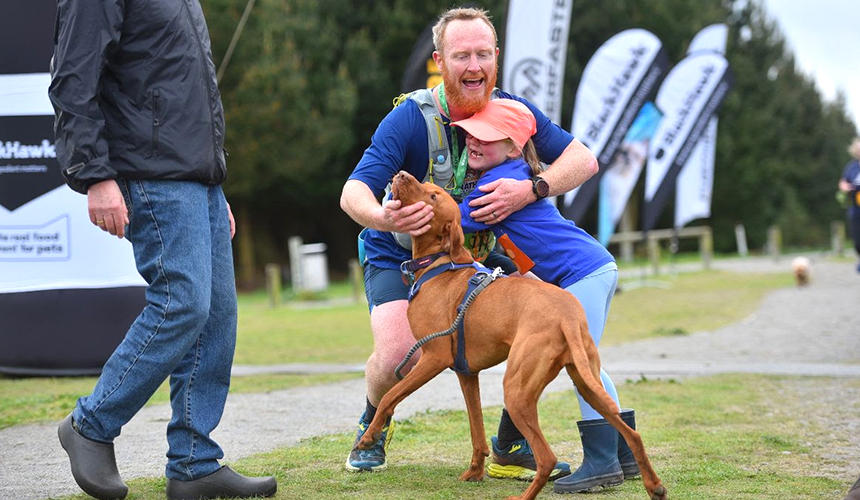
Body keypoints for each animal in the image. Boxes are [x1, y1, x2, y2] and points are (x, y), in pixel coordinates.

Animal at [356, 173, 664, 500]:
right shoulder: (467, 374)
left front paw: (368, 438)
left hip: (517, 388)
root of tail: (567, 315)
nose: (401, 174)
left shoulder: (433, 358)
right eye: (429, 189)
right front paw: (474, 473)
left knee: (547, 457)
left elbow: (390, 396)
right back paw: (654, 487)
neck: (439, 265)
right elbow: (476, 430)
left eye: (433, 196)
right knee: (631, 433)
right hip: (585, 379)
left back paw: (524, 495)